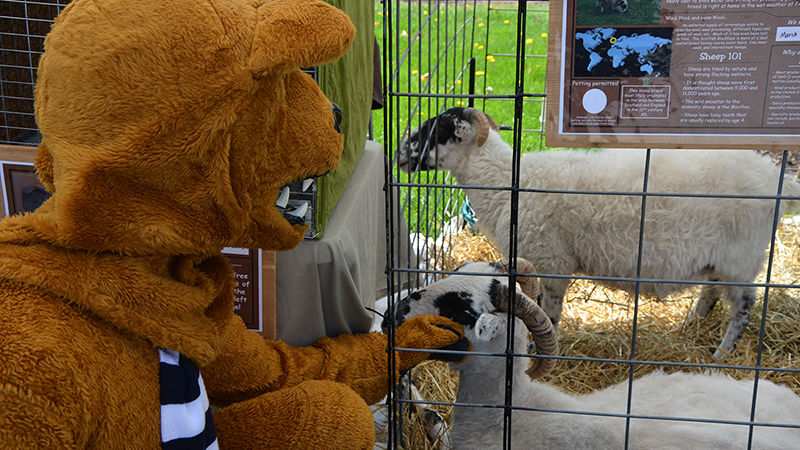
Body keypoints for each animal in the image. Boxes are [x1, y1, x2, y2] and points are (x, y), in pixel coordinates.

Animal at [398, 106, 800, 358]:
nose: (399, 154)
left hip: (741, 257)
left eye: (432, 131)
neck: (505, 183)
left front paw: (539, 349)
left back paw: (720, 353)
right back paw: (691, 325)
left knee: (743, 307)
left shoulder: (552, 262)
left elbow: (549, 312)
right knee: (712, 292)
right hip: (723, 259)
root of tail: (776, 178)